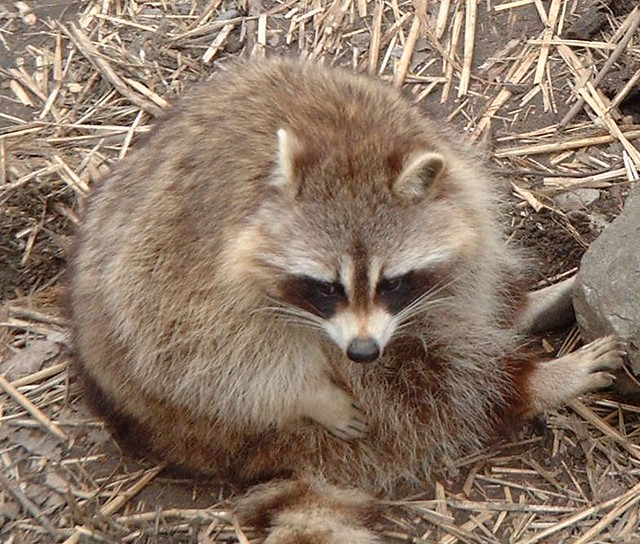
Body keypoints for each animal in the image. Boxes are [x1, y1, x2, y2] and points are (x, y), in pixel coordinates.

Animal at [69, 58, 625, 543]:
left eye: (392, 283)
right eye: (325, 288)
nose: (361, 351)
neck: (348, 146)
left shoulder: (456, 186)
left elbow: (467, 266)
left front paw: (508, 307)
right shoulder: (183, 266)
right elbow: (191, 357)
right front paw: (315, 395)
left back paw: (523, 310)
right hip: (224, 426)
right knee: (433, 390)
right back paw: (532, 383)